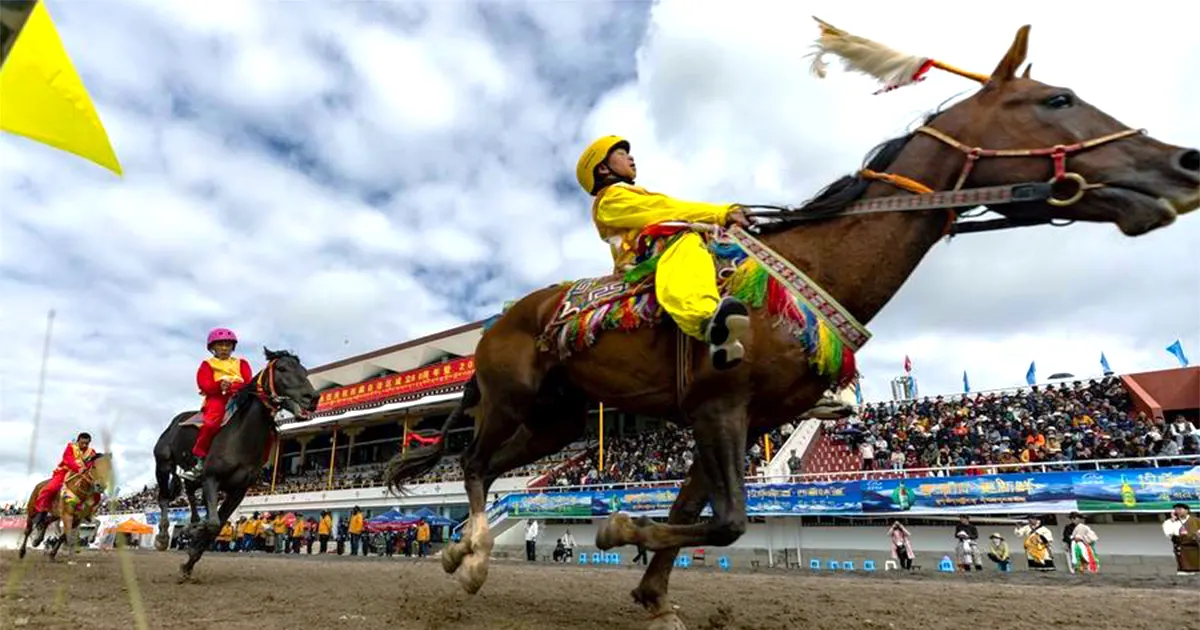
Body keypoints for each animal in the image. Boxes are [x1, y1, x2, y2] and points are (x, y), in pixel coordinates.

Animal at [153, 348, 319, 581]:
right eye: (282, 368)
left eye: (304, 370)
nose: (312, 398)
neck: (240, 438)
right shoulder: (211, 479)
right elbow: (213, 522)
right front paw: (191, 540)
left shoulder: (238, 491)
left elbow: (216, 525)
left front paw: (189, 560)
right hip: (163, 464)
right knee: (164, 498)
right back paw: (163, 536)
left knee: (190, 492)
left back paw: (193, 522)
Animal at [384, 24, 1197, 630]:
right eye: (1057, 98)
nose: (1185, 164)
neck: (810, 271)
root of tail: (495, 327)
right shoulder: (719, 407)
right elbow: (728, 521)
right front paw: (617, 531)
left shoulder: (737, 421)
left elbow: (696, 509)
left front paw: (652, 595)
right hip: (512, 401)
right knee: (473, 464)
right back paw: (467, 554)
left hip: (556, 422)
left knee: (492, 465)